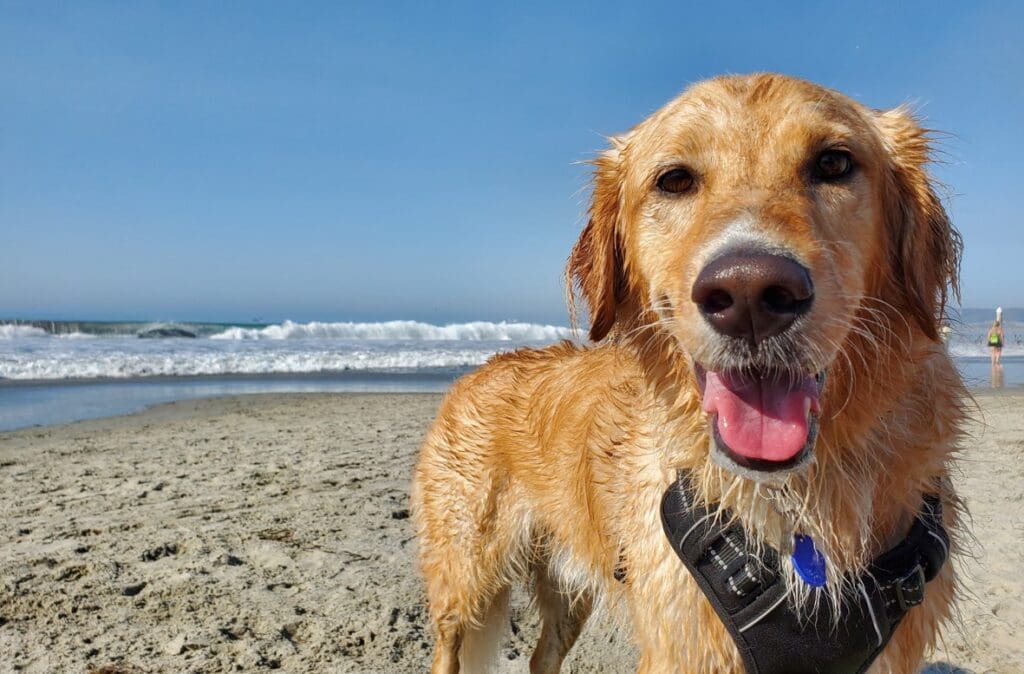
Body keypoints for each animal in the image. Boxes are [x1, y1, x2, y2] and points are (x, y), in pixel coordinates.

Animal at [409, 73, 966, 671]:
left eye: (834, 163)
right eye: (674, 180)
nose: (750, 294)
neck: (792, 508)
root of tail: (482, 367)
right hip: (466, 580)